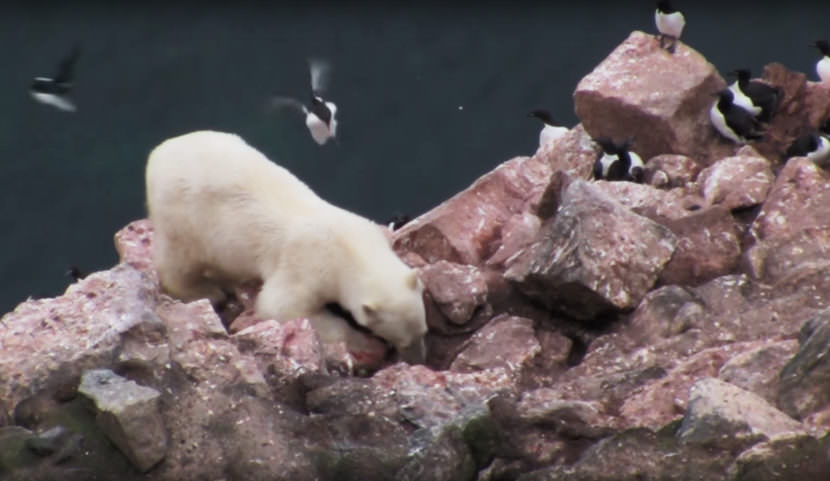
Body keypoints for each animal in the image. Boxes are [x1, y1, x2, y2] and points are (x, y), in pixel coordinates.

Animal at [145, 130, 428, 360]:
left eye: (423, 331)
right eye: (402, 341)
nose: (418, 359)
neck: (351, 248)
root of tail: (158, 154)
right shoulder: (310, 265)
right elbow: (281, 306)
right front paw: (362, 342)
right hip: (185, 215)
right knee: (180, 260)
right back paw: (206, 290)